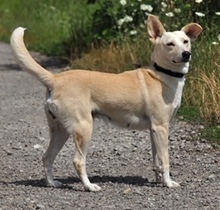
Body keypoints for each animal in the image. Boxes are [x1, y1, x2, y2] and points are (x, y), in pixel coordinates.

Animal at [10, 15, 203, 191]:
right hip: (83, 128)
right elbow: (165, 160)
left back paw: (51, 183)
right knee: (78, 161)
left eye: (185, 41)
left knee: (47, 157)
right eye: (170, 44)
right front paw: (168, 182)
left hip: (60, 130)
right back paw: (89, 186)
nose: (186, 54)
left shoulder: (153, 130)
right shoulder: (161, 127)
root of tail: (55, 79)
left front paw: (159, 180)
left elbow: (157, 160)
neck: (162, 74)